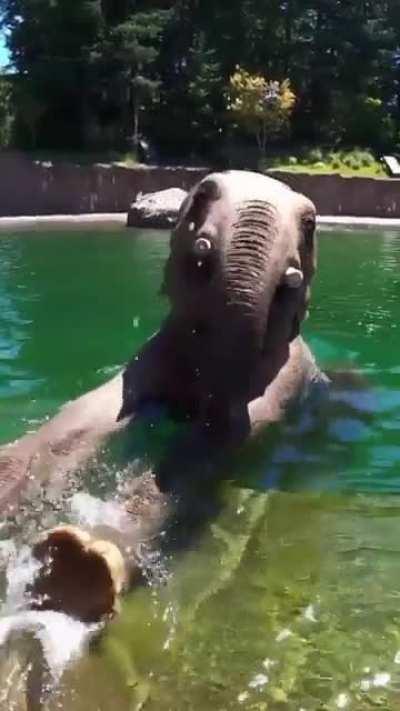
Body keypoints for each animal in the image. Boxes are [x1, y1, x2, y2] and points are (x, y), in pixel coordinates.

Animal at [0, 170, 327, 624]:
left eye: (310, 225)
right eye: (202, 195)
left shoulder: (287, 378)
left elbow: (209, 445)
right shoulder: (148, 356)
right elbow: (89, 417)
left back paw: (78, 567)